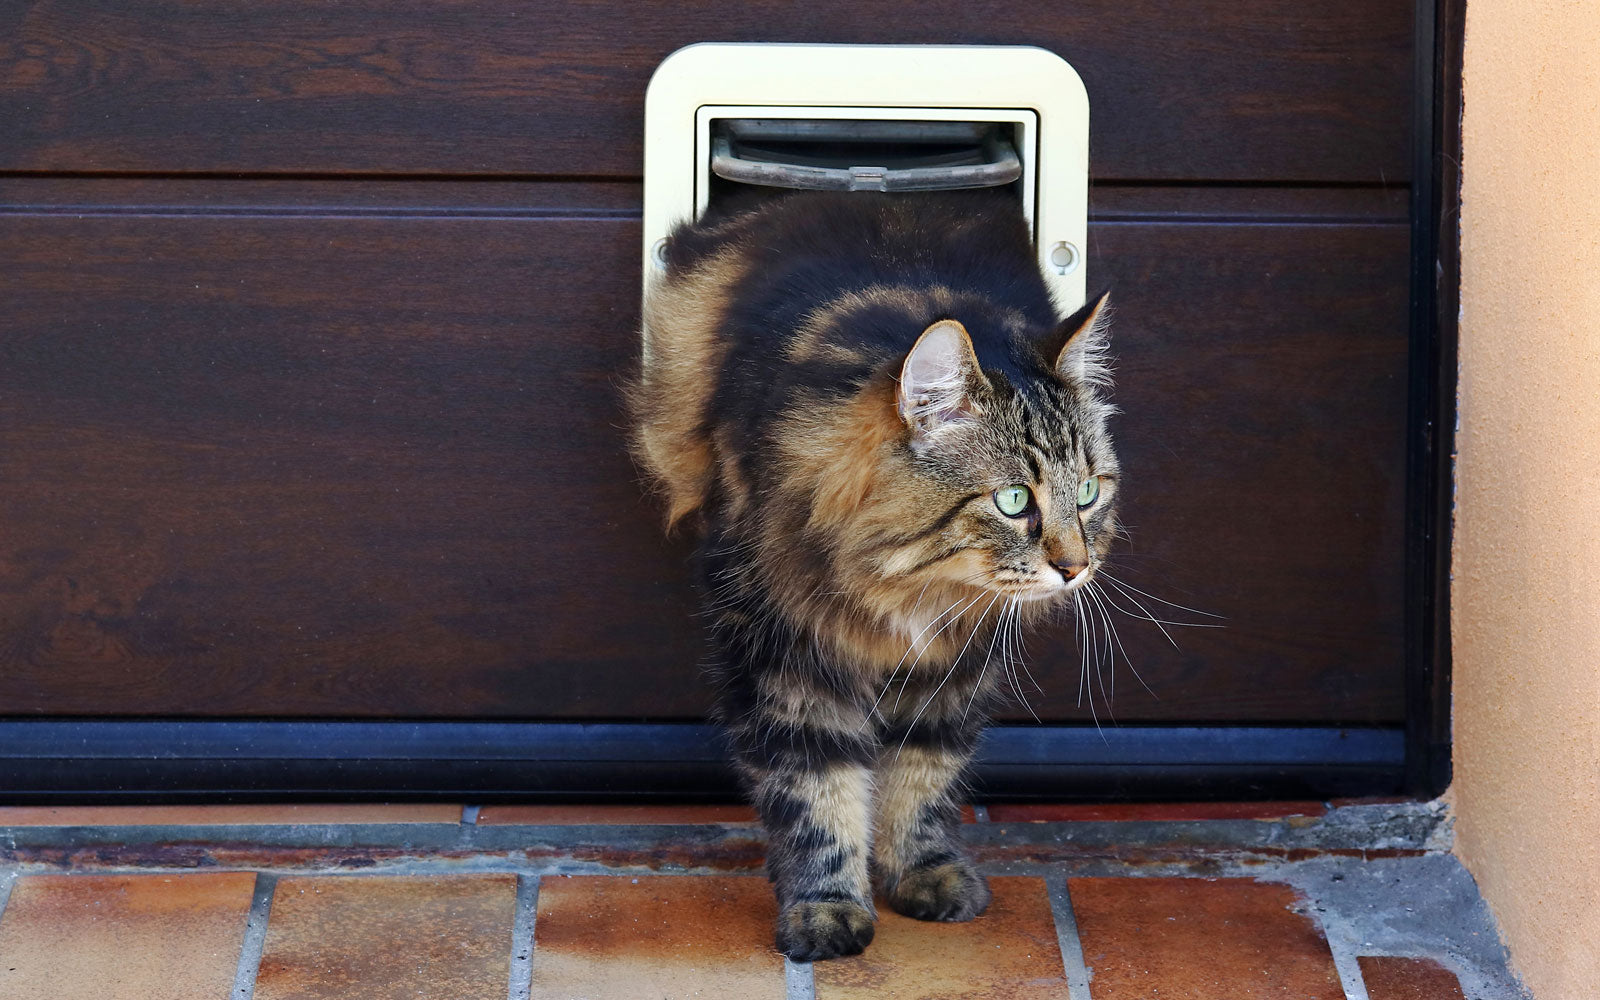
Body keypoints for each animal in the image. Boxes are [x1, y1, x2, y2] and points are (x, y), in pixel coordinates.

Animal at [630, 188, 1120, 960]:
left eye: (1089, 493)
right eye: (1014, 500)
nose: (1076, 568)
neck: (906, 585)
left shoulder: (953, 668)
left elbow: (921, 780)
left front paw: (924, 873)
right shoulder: (785, 659)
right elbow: (817, 793)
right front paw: (828, 909)